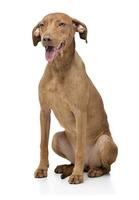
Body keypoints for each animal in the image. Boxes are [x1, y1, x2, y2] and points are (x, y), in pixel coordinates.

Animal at [32, 12, 117, 184]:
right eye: (42, 25)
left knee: (106, 168)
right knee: (73, 159)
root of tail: (89, 164)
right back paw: (66, 167)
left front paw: (76, 175)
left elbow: (80, 149)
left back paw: (92, 171)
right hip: (57, 138)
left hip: (105, 141)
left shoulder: (80, 113)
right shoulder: (44, 111)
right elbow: (43, 144)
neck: (58, 69)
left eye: (62, 24)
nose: (46, 38)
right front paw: (42, 168)